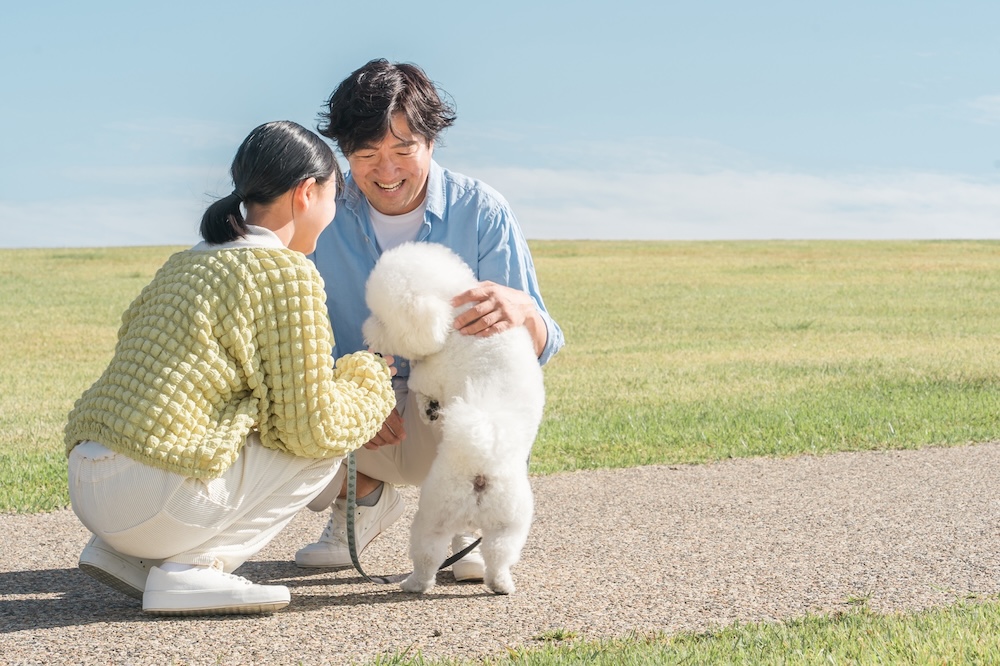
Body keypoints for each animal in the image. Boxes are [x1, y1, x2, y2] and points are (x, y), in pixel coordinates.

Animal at [362, 241, 548, 592]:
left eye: (383, 318)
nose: (367, 332)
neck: (454, 309)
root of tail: (482, 465)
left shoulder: (432, 371)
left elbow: (422, 382)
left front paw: (429, 407)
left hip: (433, 515)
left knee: (427, 555)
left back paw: (414, 584)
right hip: (508, 524)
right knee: (498, 556)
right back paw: (501, 584)